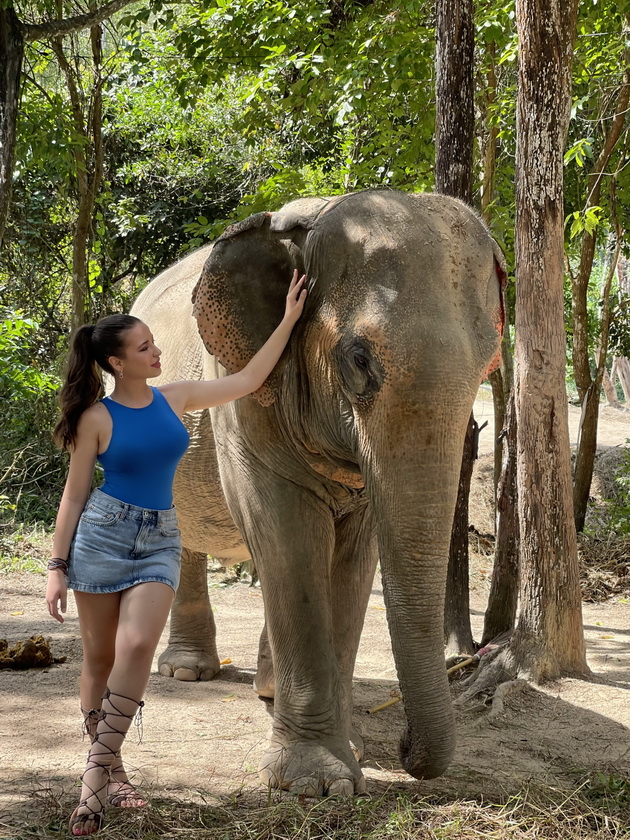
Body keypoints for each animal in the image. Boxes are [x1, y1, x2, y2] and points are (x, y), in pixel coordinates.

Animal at [131, 189, 506, 796]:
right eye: (359, 360)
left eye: (487, 364)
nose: (405, 747)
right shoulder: (239, 390)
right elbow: (289, 536)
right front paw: (317, 782)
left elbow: (352, 561)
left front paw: (352, 751)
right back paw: (187, 670)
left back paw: (265, 688)